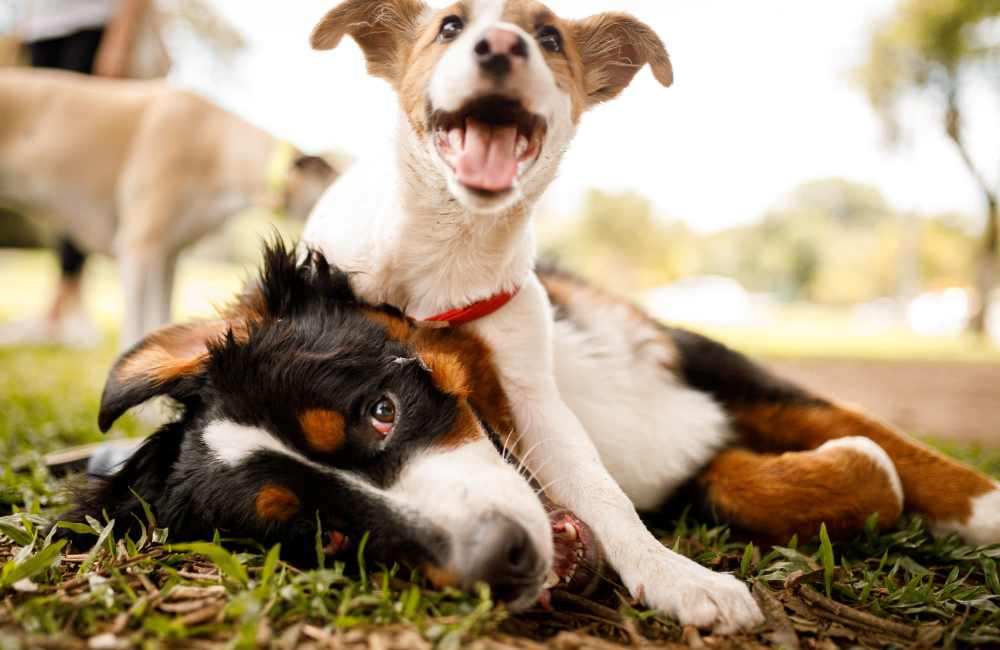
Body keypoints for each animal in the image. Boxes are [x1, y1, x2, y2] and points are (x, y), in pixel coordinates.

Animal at [298, 0, 764, 628]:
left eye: (549, 38)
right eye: (449, 26)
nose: (500, 46)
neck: (450, 251)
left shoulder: (532, 396)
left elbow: (603, 491)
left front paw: (675, 573)